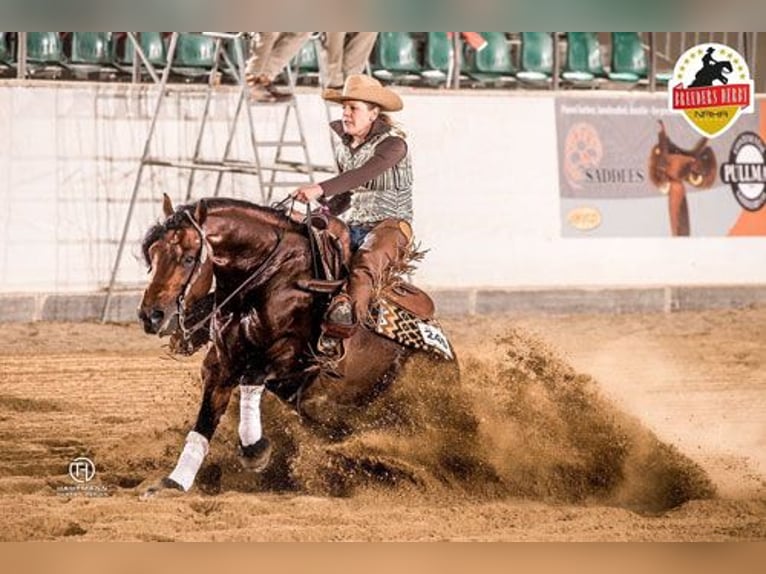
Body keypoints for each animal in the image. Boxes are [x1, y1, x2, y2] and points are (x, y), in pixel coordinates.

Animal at [136, 195, 456, 500]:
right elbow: (204, 422)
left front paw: (254, 449)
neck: (271, 278)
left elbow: (251, 378)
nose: (151, 315)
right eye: (152, 255)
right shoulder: (221, 363)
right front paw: (174, 482)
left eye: (189, 258)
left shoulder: (297, 361)